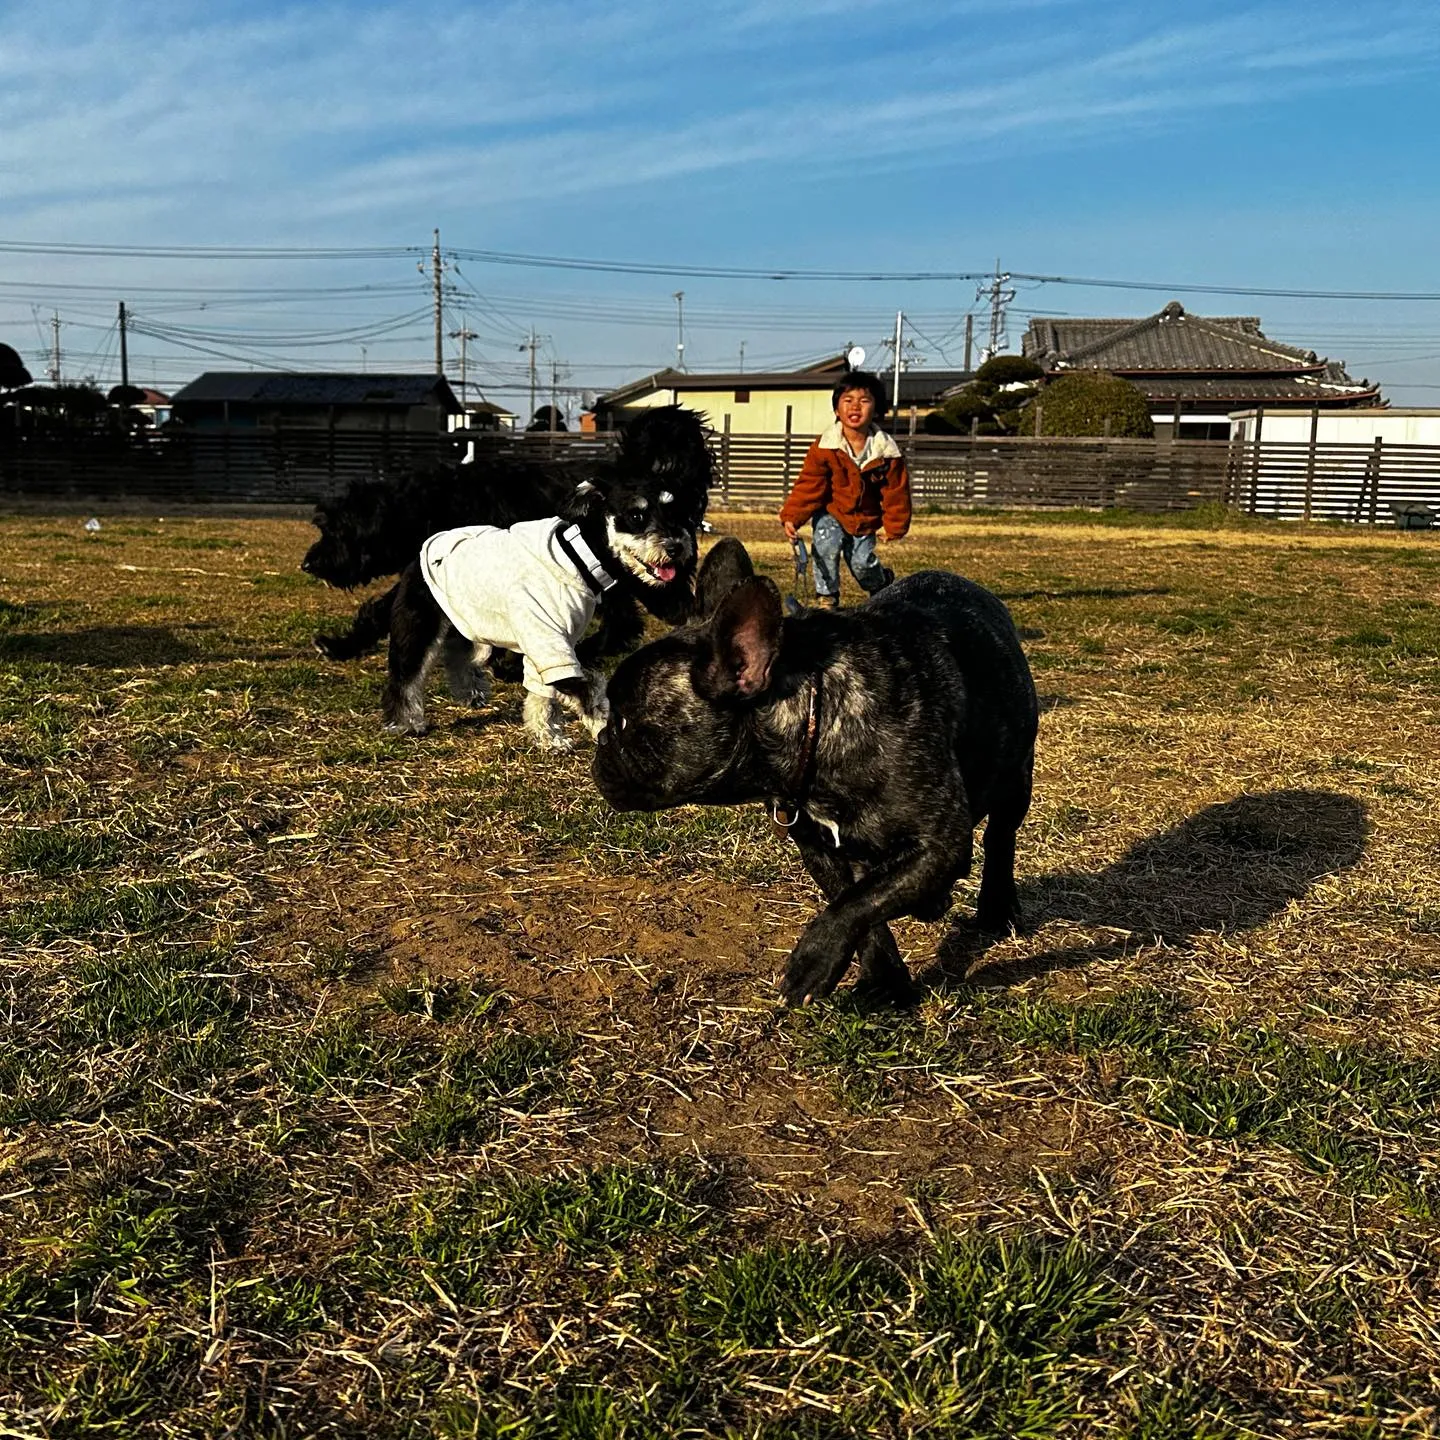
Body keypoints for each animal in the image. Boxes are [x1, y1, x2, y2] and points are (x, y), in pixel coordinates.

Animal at [590, 538, 1042, 1002]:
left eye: (624, 722)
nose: (601, 739)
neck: (816, 717)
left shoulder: (940, 843)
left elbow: (862, 902)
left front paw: (813, 961)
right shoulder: (821, 850)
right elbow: (861, 907)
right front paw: (884, 982)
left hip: (1016, 779)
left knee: (999, 837)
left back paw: (997, 906)